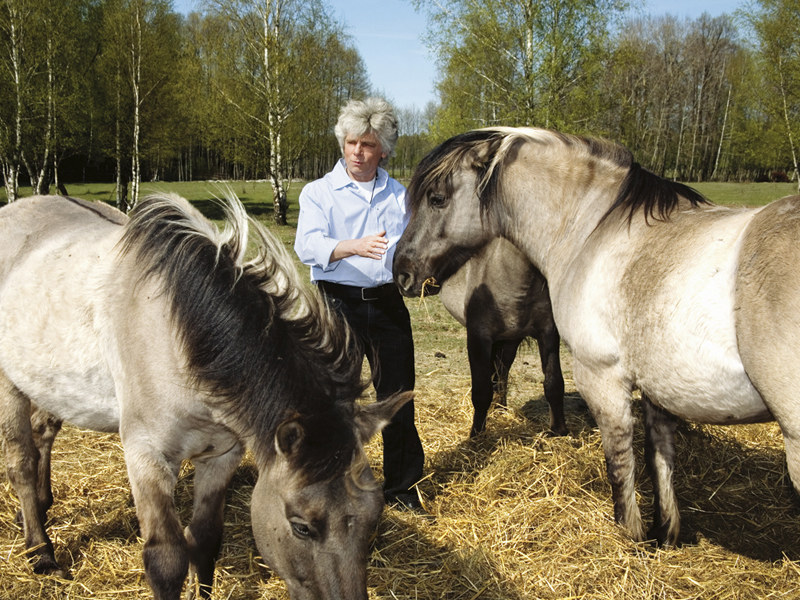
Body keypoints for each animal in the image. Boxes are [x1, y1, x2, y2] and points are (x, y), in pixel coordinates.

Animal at [0, 193, 410, 600]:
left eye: (374, 518)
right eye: (301, 526)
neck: (180, 338)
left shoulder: (222, 456)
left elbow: (204, 540)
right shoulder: (146, 457)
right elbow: (166, 561)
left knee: (42, 433)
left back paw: (39, 507)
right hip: (10, 385)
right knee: (21, 462)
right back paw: (41, 553)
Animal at [434, 237, 564, 438]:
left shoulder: (548, 332)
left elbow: (553, 381)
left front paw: (558, 430)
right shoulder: (478, 338)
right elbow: (481, 390)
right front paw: (476, 435)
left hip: (511, 339)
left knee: (502, 370)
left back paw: (500, 407)